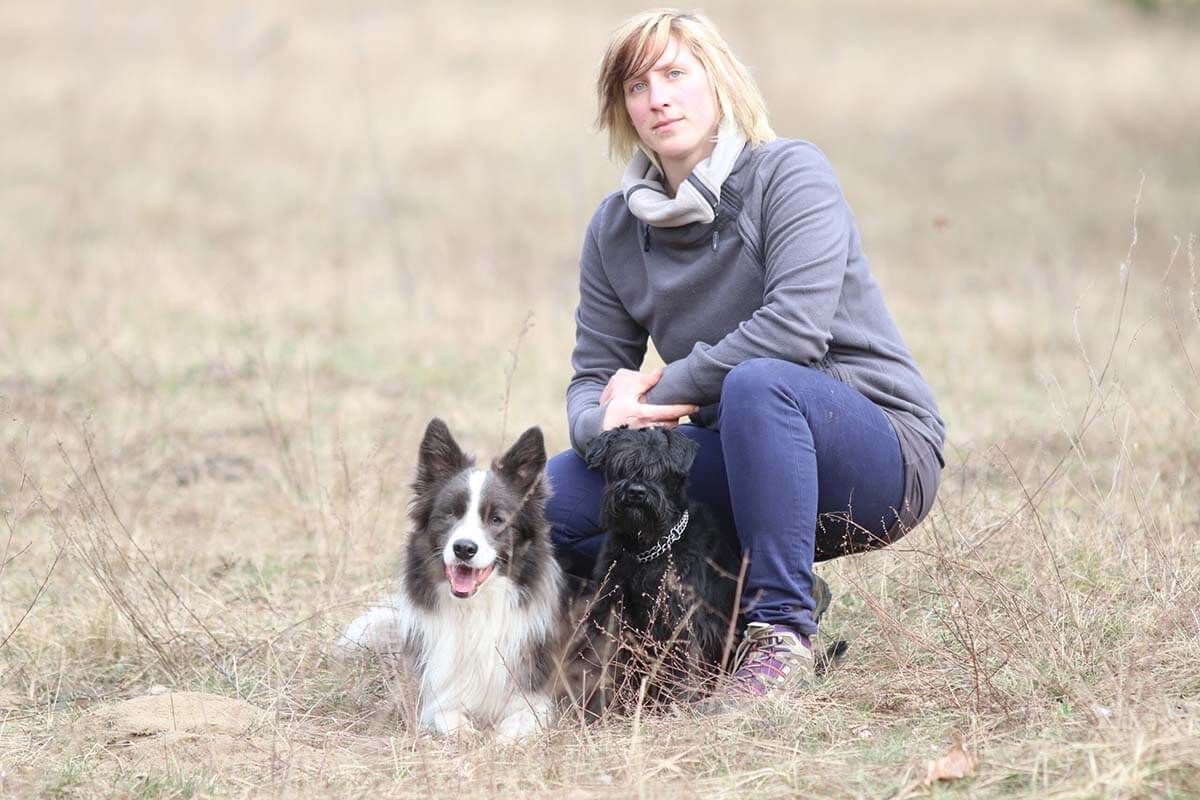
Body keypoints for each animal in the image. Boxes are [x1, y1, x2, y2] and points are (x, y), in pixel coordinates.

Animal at [336, 419, 564, 738]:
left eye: (496, 519)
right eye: (450, 514)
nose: (464, 549)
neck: (475, 610)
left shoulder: (534, 698)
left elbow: (515, 727)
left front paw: (497, 741)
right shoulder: (438, 694)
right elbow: (449, 717)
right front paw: (469, 735)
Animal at [578, 424, 739, 705]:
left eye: (662, 468)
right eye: (619, 465)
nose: (636, 491)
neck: (645, 549)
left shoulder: (681, 623)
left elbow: (683, 671)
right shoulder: (610, 613)